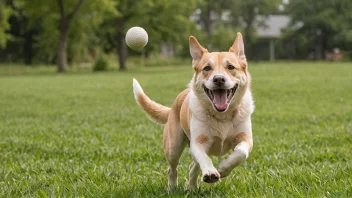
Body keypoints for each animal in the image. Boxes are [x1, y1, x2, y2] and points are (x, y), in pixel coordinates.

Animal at [133, 32, 254, 190]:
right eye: (207, 68)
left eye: (231, 67)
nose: (219, 79)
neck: (221, 116)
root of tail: (174, 105)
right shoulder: (197, 143)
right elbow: (203, 157)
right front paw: (211, 172)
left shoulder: (245, 138)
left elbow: (241, 153)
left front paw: (222, 168)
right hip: (173, 146)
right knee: (173, 169)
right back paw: (172, 188)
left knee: (192, 168)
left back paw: (192, 188)